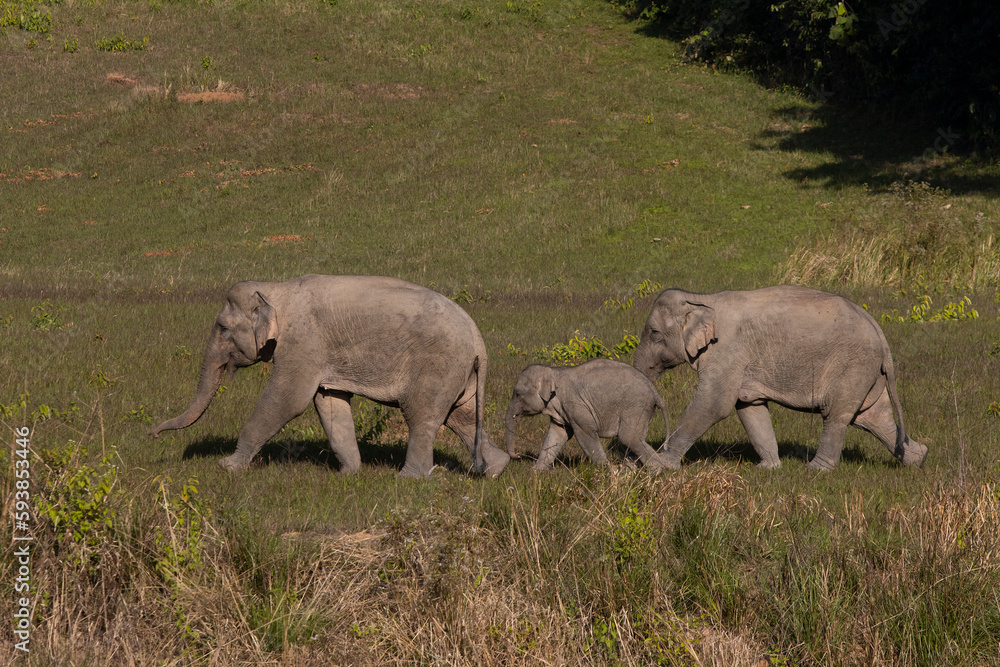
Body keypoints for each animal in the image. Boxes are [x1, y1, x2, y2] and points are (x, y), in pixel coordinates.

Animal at [151, 274, 511, 478]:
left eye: (224, 329)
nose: (153, 433)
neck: (277, 289)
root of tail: (479, 340)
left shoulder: (303, 343)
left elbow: (288, 400)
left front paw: (228, 467)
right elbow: (329, 403)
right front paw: (349, 475)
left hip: (438, 365)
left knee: (423, 416)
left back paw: (409, 479)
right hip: (459, 373)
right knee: (461, 416)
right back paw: (496, 470)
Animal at [504, 359, 670, 471]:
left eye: (517, 394)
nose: (518, 455)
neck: (553, 371)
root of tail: (655, 391)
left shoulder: (575, 406)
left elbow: (585, 435)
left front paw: (606, 470)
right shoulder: (562, 412)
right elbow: (557, 434)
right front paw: (535, 472)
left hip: (636, 407)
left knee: (629, 438)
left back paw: (656, 472)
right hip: (642, 411)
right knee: (632, 440)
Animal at [633, 285, 928, 471]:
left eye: (654, 333)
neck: (701, 298)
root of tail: (879, 330)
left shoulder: (727, 350)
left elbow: (714, 404)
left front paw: (661, 466)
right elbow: (748, 406)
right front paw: (768, 469)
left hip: (852, 366)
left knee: (838, 415)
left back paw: (816, 470)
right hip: (867, 372)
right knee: (873, 417)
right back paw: (919, 459)